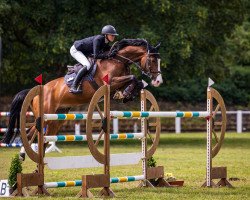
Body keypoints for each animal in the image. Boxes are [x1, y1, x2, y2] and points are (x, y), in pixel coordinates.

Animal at [1, 39, 162, 152]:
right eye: (153, 60)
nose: (158, 81)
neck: (118, 60)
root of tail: (39, 90)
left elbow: (136, 81)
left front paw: (127, 94)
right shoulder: (110, 82)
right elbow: (133, 78)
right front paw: (127, 93)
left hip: (56, 118)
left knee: (44, 137)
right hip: (45, 115)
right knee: (30, 134)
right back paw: (23, 157)